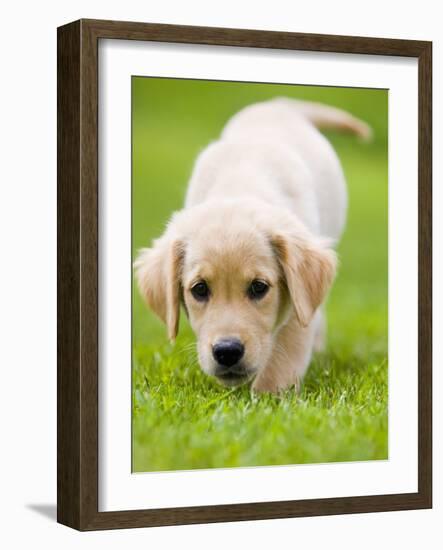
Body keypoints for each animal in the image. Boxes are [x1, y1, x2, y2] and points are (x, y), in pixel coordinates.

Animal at [135, 98, 372, 392]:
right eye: (199, 289)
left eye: (259, 287)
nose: (227, 351)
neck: (240, 185)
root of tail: (276, 104)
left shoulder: (298, 302)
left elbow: (284, 357)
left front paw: (268, 396)